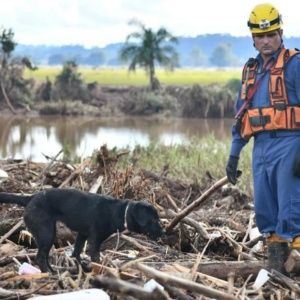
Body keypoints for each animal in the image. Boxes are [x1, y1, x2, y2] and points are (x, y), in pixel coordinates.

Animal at [0, 189, 162, 274]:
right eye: (154, 220)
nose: (164, 232)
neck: (121, 212)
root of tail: (30, 198)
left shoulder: (82, 234)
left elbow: (76, 253)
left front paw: (82, 268)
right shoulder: (95, 239)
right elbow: (95, 257)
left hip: (49, 234)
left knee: (44, 256)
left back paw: (54, 271)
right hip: (46, 233)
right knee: (40, 257)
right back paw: (48, 274)